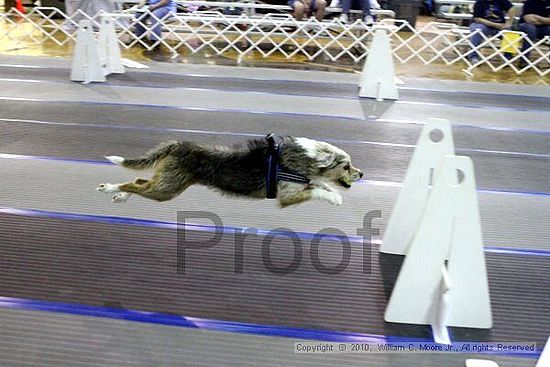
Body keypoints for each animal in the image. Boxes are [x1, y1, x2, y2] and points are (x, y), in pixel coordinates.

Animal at [97, 137, 364, 208]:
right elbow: (317, 190)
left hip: (167, 183)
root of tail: (177, 144)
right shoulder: (287, 197)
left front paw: (332, 191)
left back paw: (120, 195)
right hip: (167, 189)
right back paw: (109, 188)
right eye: (347, 166)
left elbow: (319, 184)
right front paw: (334, 198)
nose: (362, 174)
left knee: (139, 181)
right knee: (135, 184)